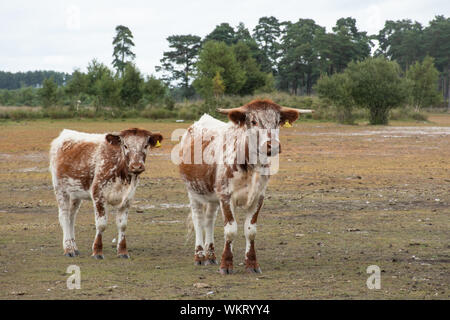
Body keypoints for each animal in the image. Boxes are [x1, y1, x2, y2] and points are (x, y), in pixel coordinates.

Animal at [50, 127, 163, 258]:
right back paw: (68, 249)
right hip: (60, 189)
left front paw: (122, 251)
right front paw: (97, 251)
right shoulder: (98, 195)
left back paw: (74, 247)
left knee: (71, 217)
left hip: (75, 193)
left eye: (145, 145)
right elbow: (101, 224)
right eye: (125, 146)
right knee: (64, 216)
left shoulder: (128, 198)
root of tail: (65, 133)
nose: (136, 166)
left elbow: (122, 225)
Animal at [178, 99, 312, 274]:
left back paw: (211, 255)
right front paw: (226, 265)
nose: (273, 146)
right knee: (198, 220)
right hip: (193, 192)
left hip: (212, 196)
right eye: (254, 121)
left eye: (277, 122)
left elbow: (251, 231)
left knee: (209, 220)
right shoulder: (226, 196)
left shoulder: (258, 197)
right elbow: (230, 230)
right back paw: (199, 256)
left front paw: (252, 264)